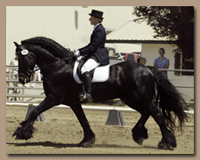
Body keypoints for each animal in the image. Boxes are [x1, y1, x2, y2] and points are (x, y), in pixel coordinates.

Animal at [12, 37, 188, 149]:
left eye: (21, 58)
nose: (21, 79)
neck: (57, 66)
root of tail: (148, 68)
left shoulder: (54, 98)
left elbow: (35, 110)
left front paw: (21, 133)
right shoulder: (73, 101)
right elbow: (82, 119)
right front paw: (87, 140)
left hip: (142, 98)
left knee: (157, 114)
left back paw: (166, 143)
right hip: (131, 99)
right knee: (146, 113)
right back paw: (138, 134)